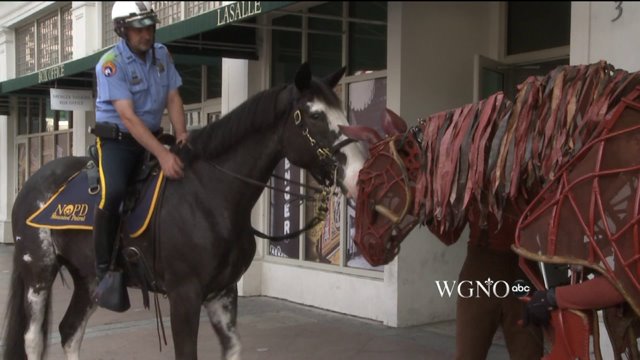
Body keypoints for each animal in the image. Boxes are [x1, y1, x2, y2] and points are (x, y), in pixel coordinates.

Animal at [2, 63, 368, 358]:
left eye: (343, 112)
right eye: (316, 115)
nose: (358, 175)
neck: (211, 195)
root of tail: (32, 181)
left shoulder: (223, 293)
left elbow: (233, 349)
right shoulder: (184, 296)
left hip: (88, 278)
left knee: (70, 332)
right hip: (38, 271)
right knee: (33, 338)